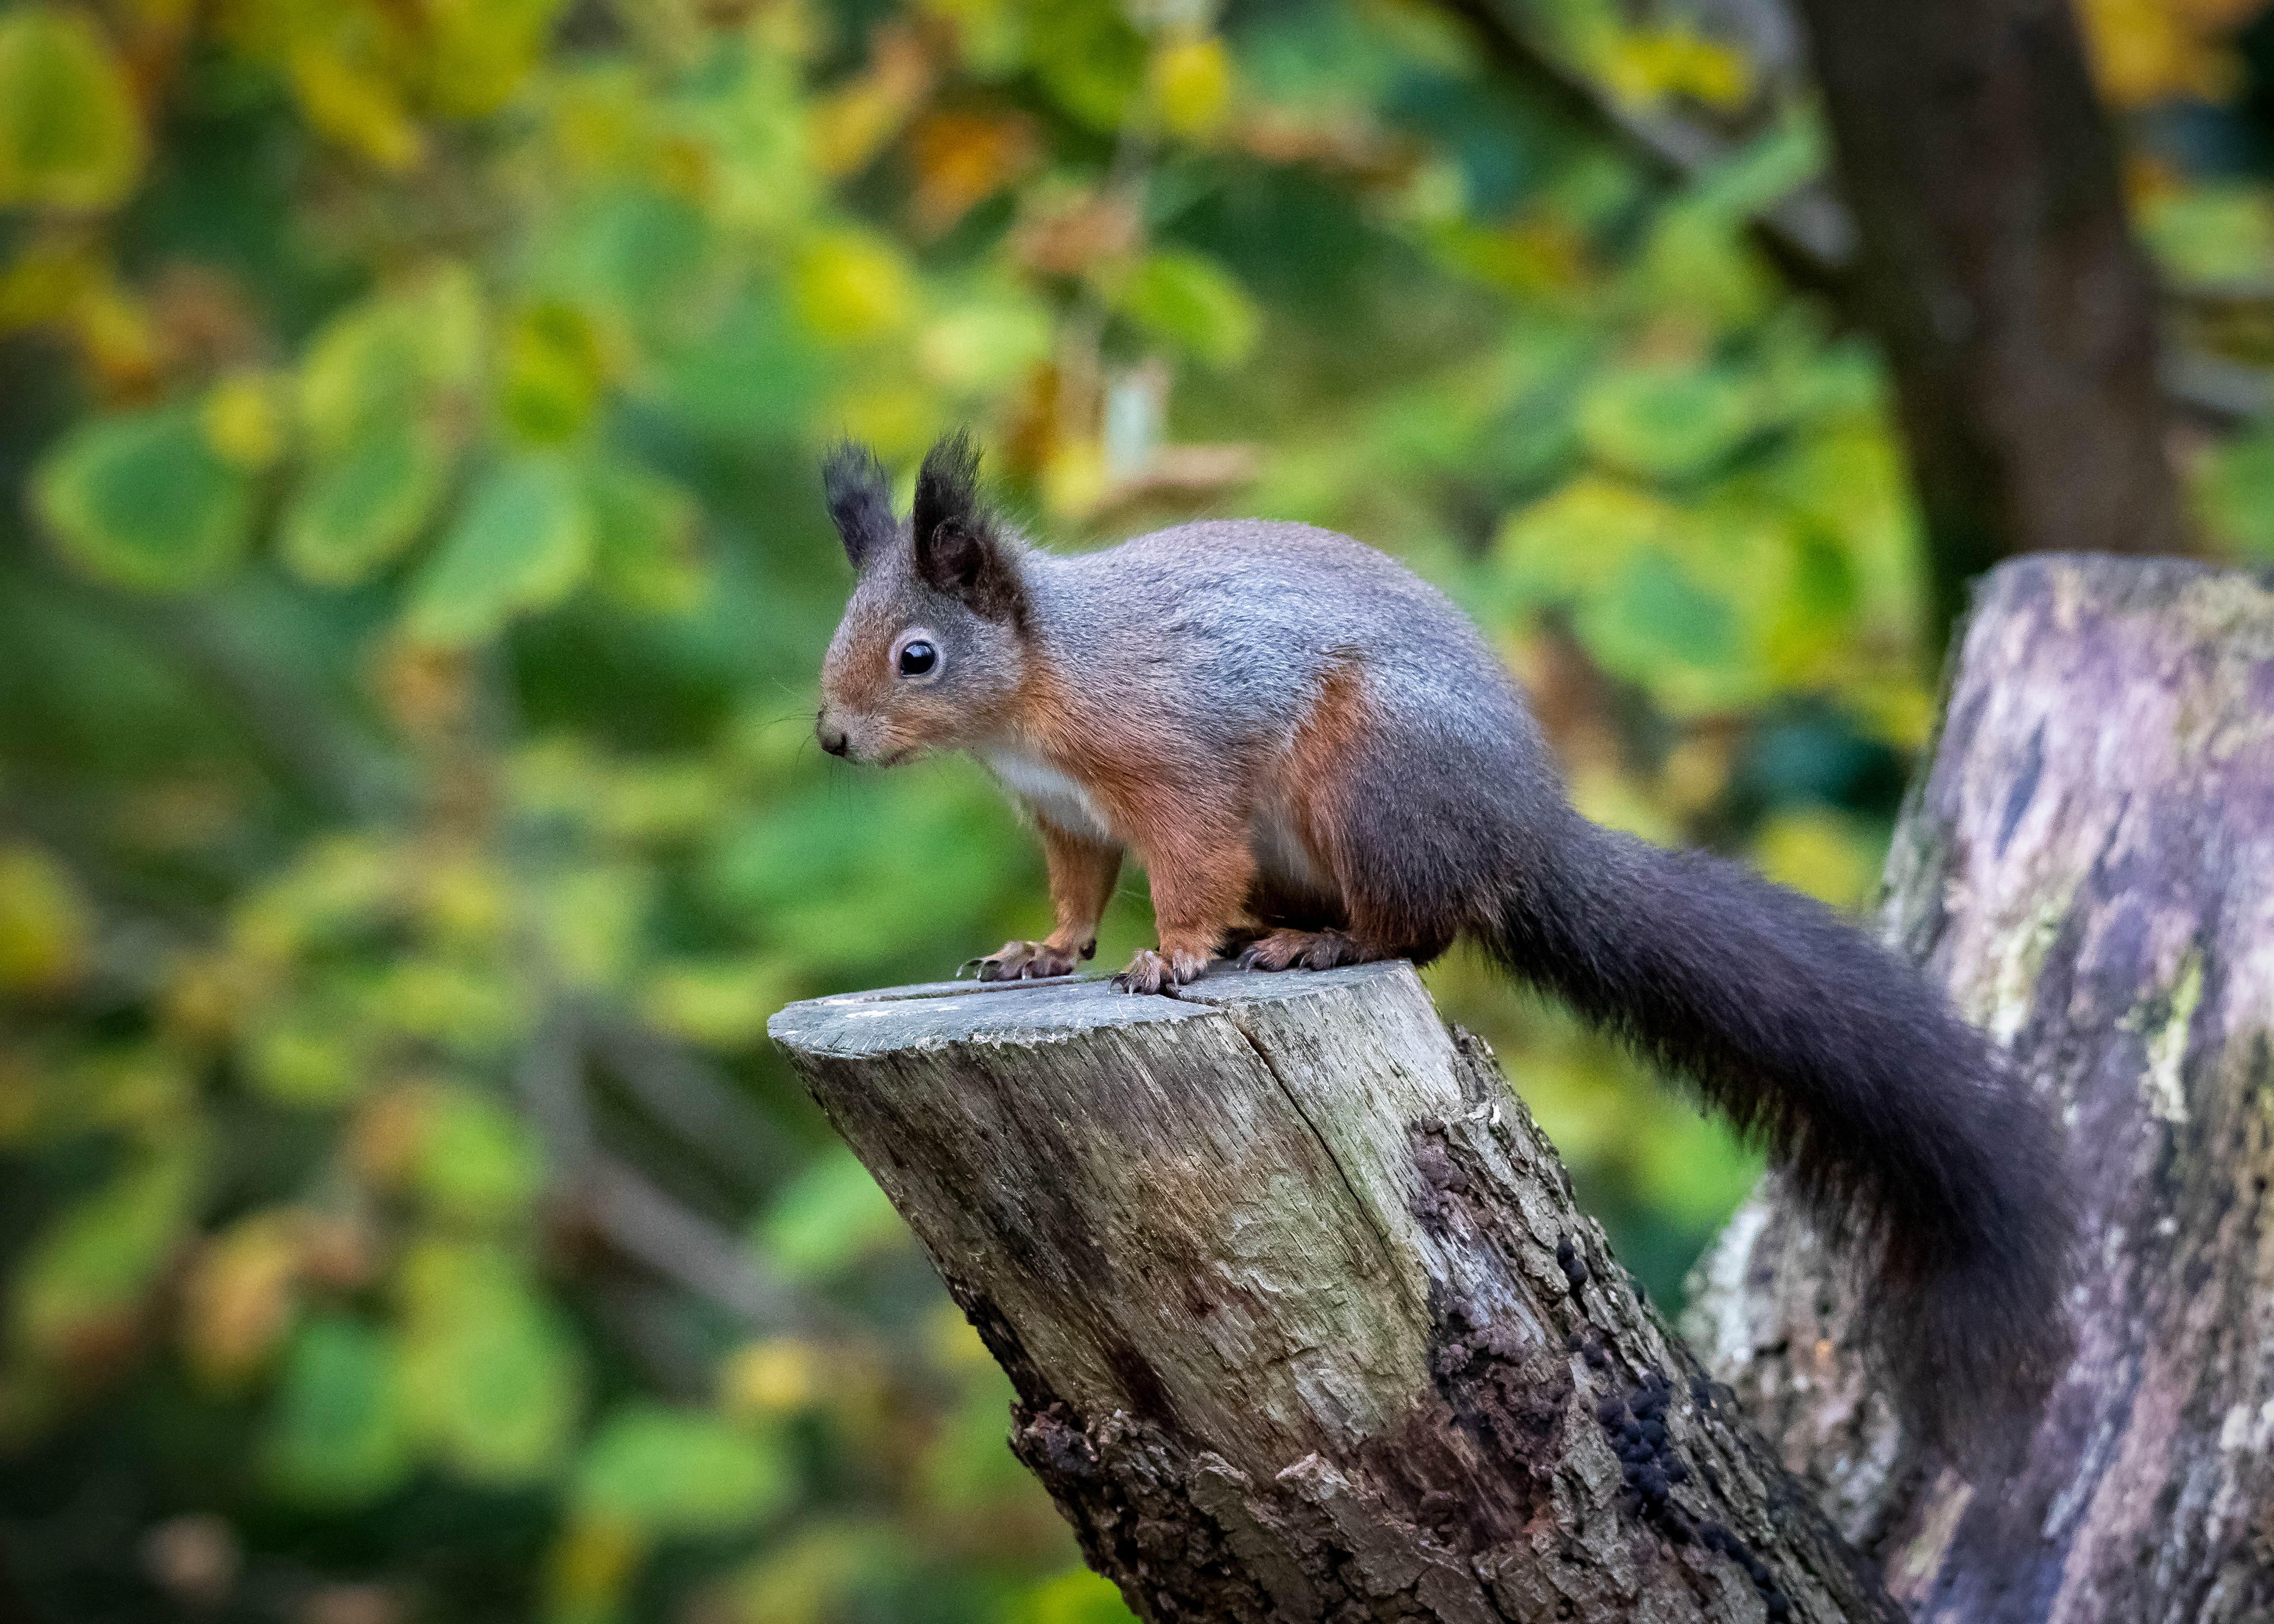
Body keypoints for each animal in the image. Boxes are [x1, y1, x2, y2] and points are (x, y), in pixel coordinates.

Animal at [813, 430, 2072, 1452]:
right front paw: (1038, 953)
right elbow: (1078, 898)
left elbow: (1190, 867)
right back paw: (1286, 929)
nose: (830, 738)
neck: (1038, 682)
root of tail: (1519, 832)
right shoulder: (1067, 818)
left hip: (1370, 771)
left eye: (918, 655)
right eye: (844, 634)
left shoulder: (1174, 767)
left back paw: (1310, 948)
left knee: (1415, 934)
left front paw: (1171, 956)